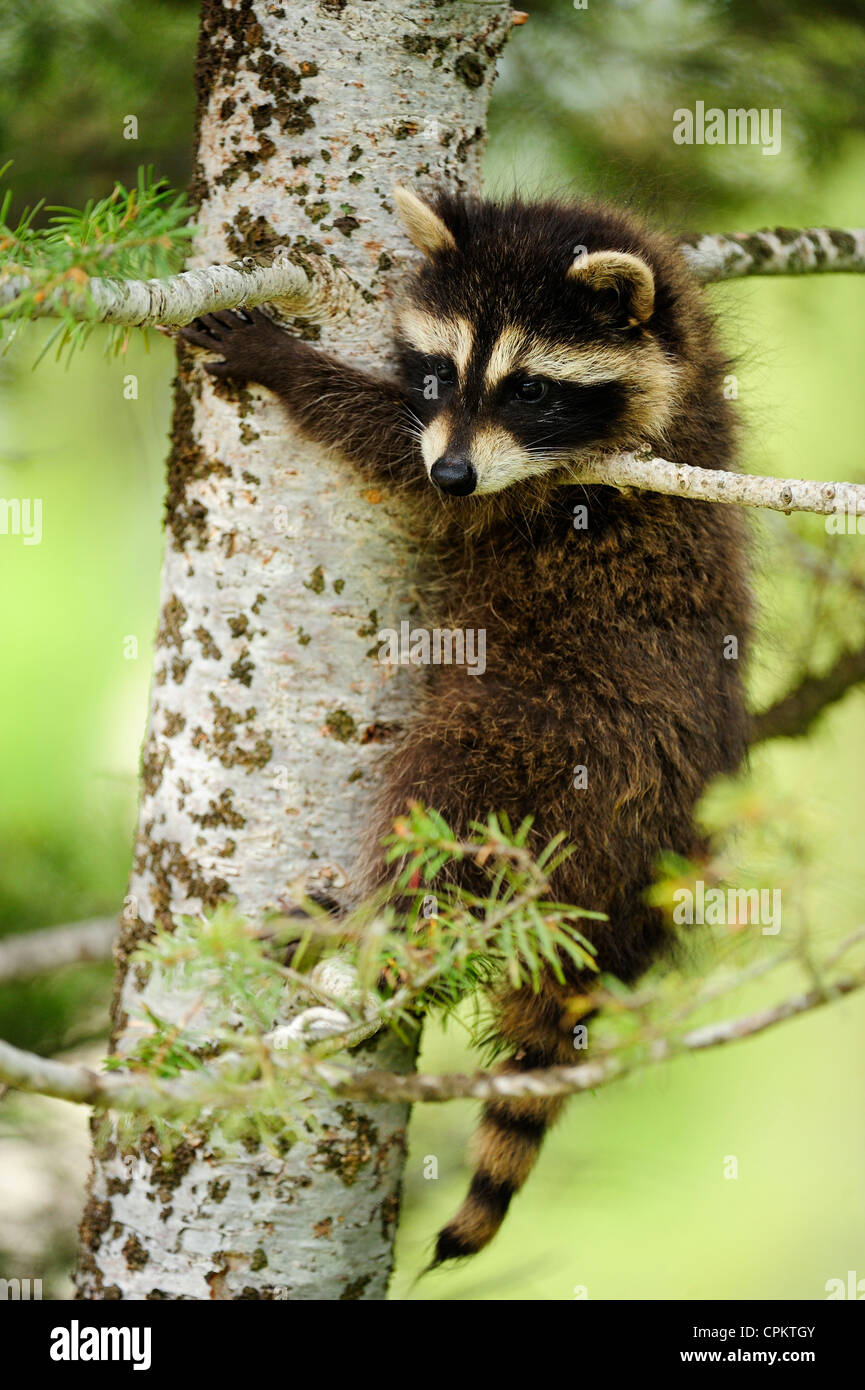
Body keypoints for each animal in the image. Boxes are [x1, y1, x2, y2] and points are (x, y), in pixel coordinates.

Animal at [180, 187, 750, 1273]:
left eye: (529, 388)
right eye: (441, 371)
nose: (452, 470)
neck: (683, 373)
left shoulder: (552, 490)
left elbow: (385, 451)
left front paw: (290, 365)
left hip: (547, 740)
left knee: (438, 805)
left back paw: (369, 917)